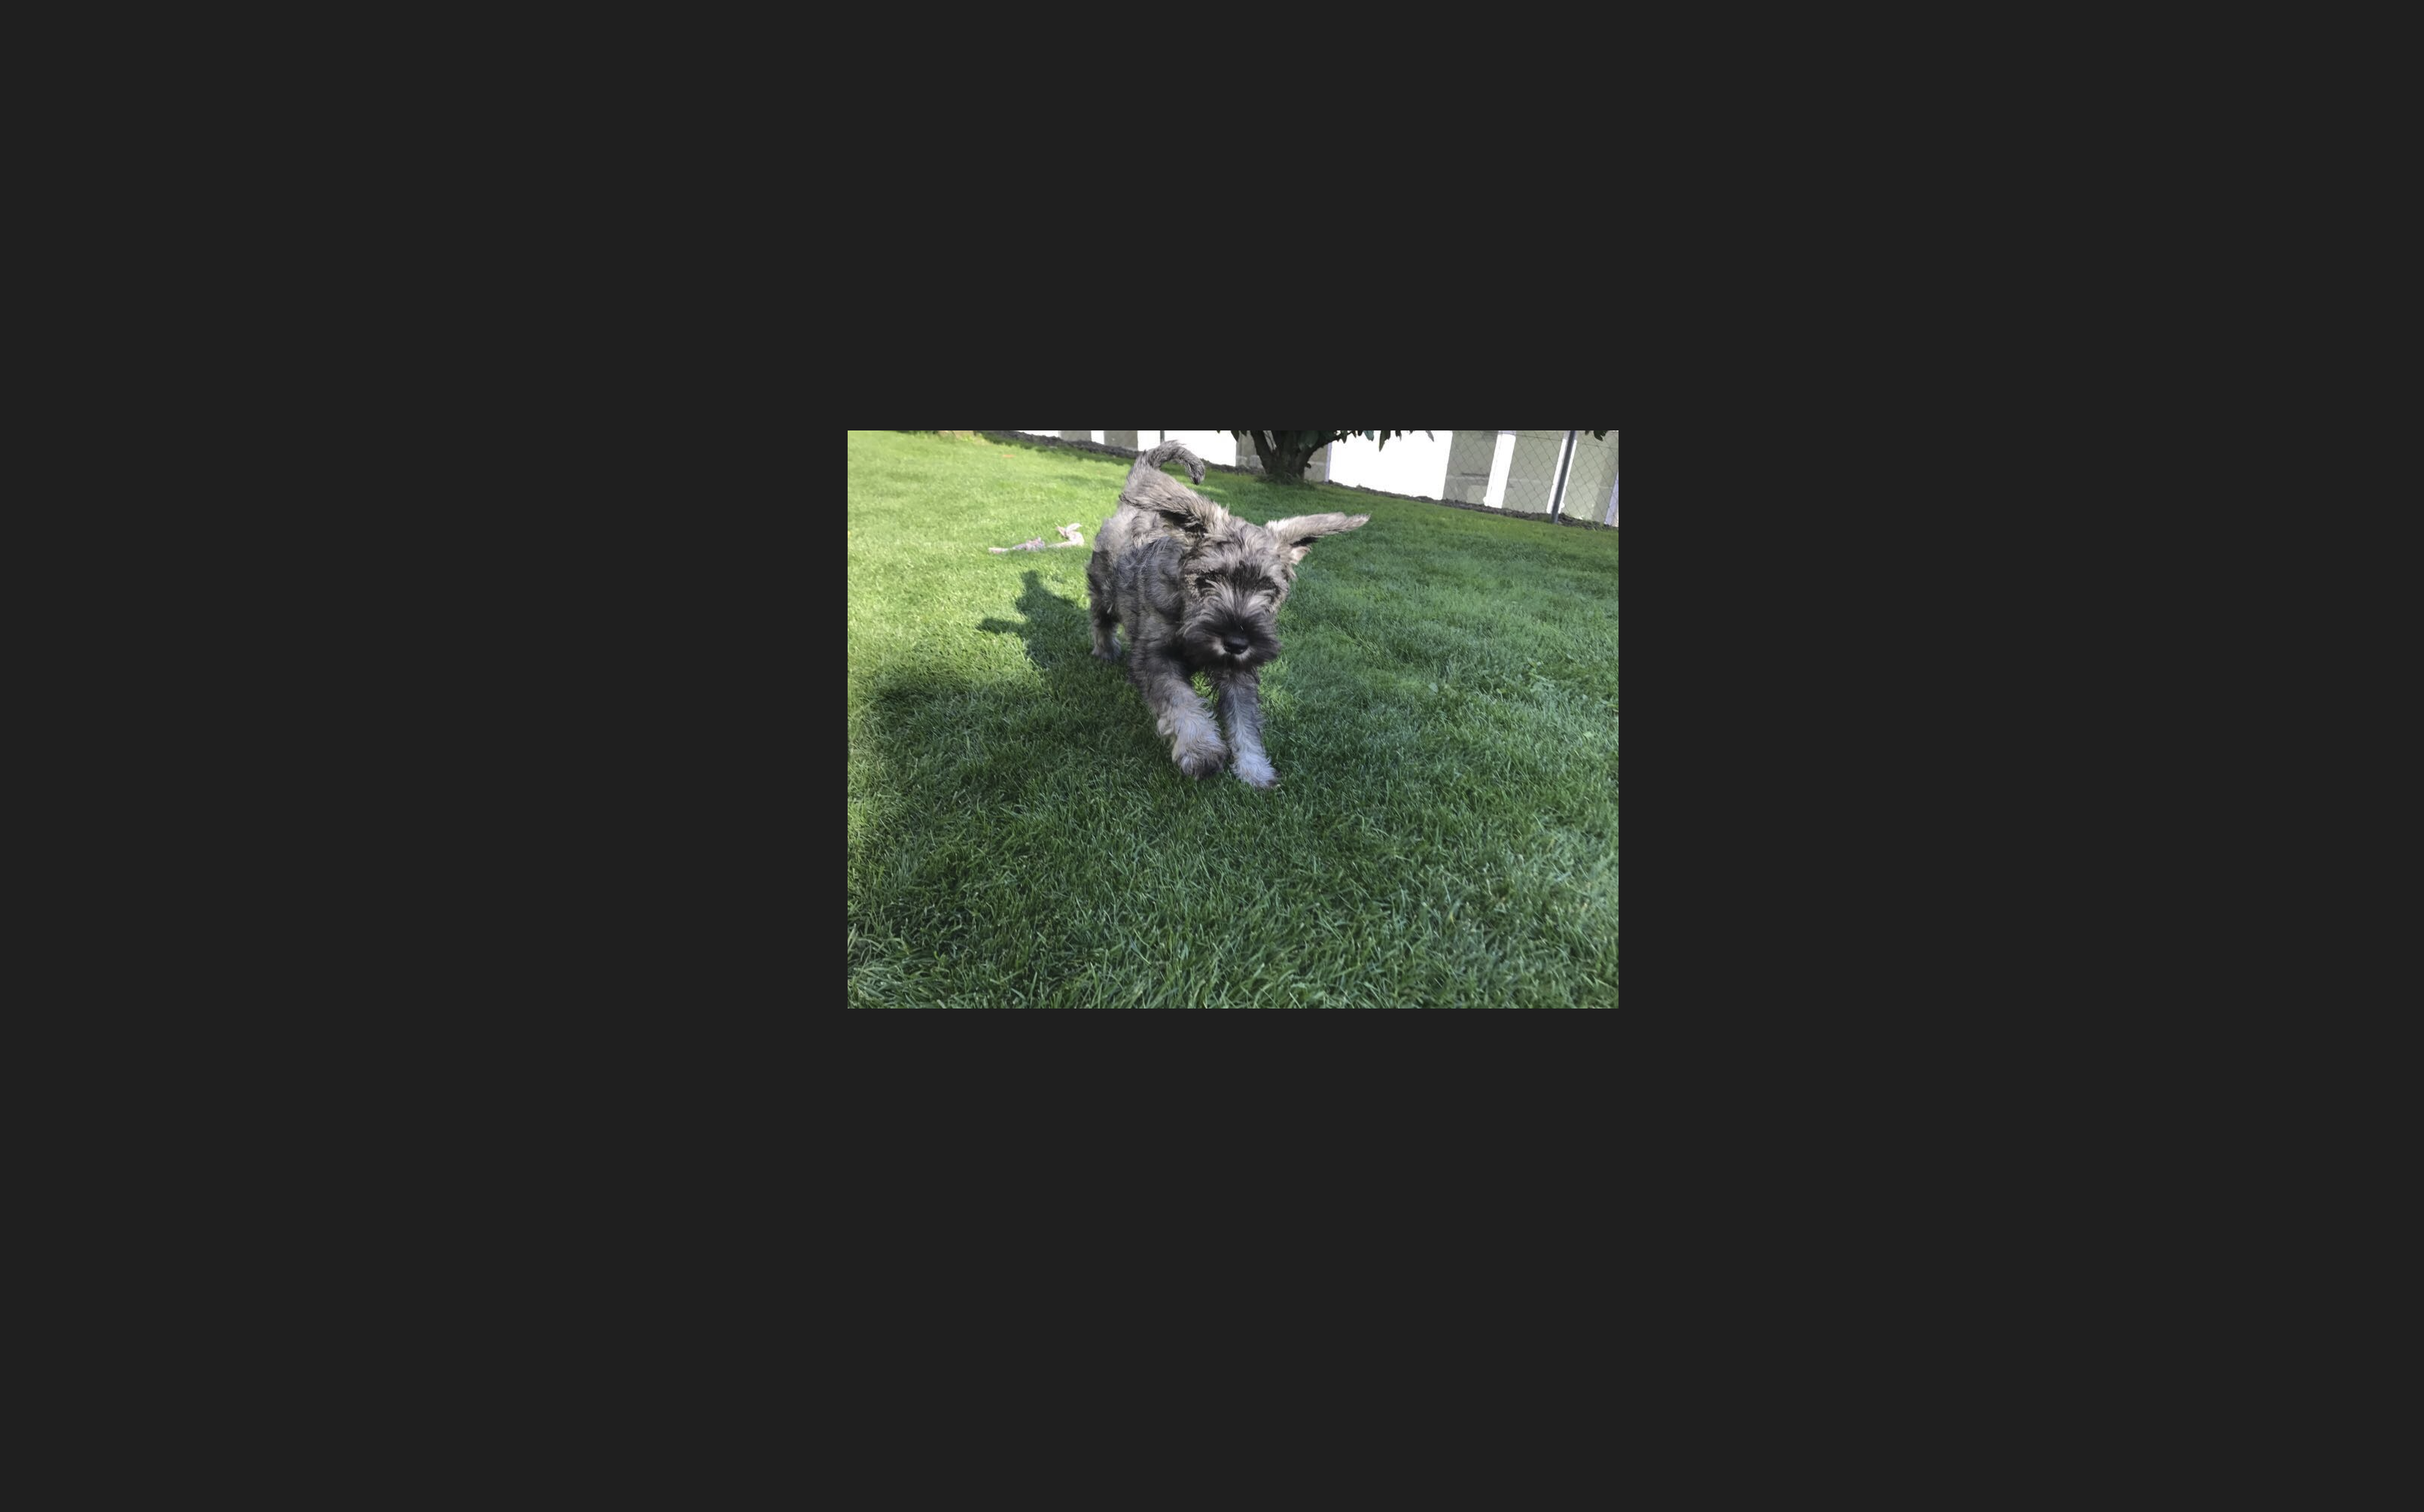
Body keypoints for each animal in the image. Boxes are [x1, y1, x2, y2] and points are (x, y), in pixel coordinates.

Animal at [1086, 440, 1367, 789]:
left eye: (1269, 588)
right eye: (1209, 579)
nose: (1236, 642)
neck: (1186, 610)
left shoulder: (1239, 672)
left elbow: (1243, 719)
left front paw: (1254, 768)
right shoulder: (1157, 657)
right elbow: (1181, 701)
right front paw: (1201, 749)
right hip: (1104, 592)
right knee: (1100, 619)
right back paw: (1105, 651)